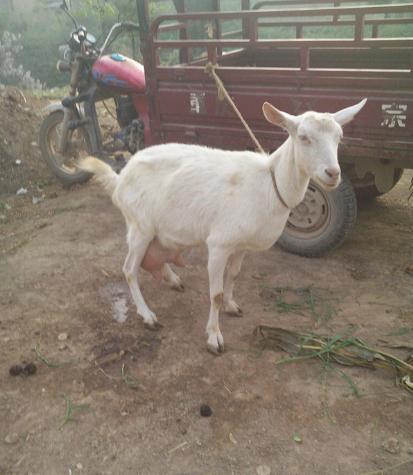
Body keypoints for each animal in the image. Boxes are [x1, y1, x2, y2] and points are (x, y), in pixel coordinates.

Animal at [79, 99, 364, 354]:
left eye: (339, 137)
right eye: (304, 137)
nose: (333, 173)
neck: (268, 184)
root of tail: (120, 177)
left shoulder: (241, 245)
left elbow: (234, 275)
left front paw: (231, 305)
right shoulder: (219, 244)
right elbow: (214, 293)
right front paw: (214, 337)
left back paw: (172, 279)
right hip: (139, 225)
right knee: (129, 269)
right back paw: (148, 315)